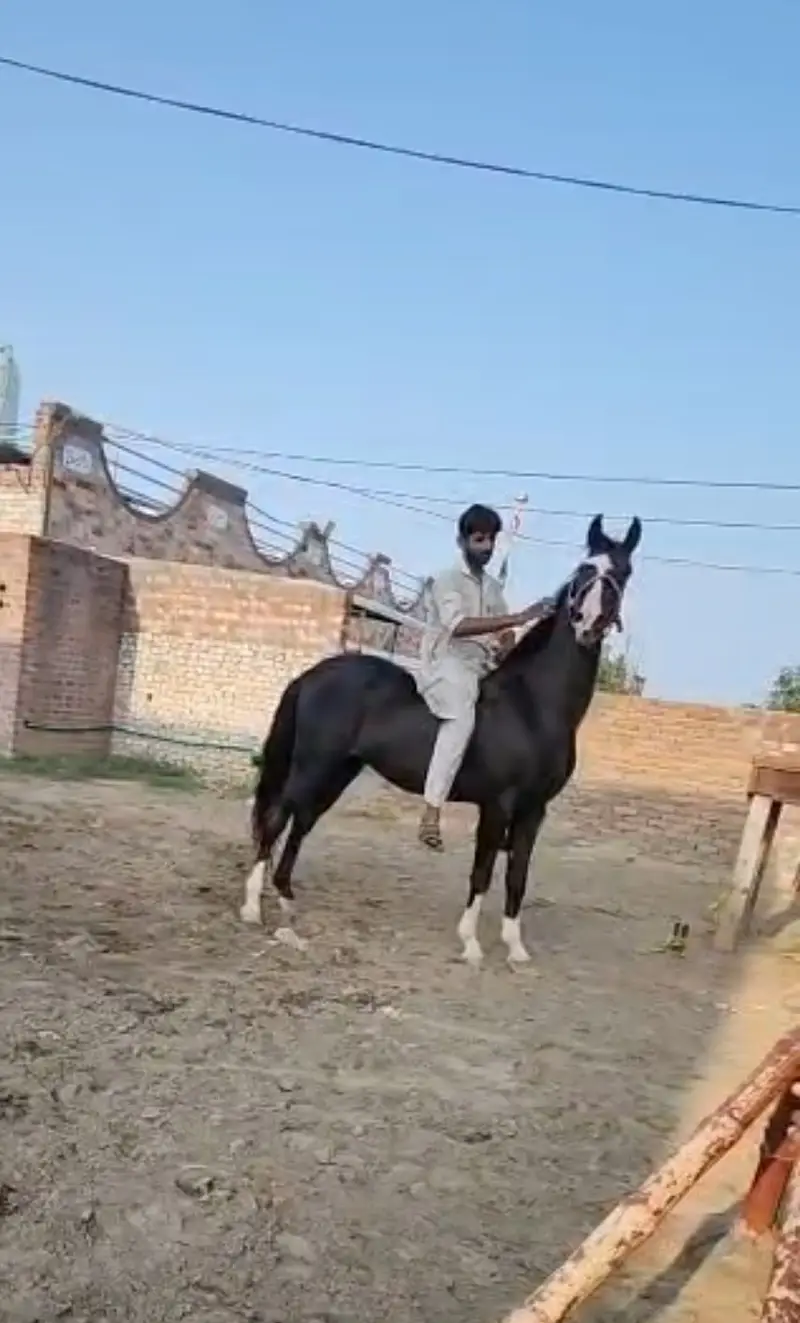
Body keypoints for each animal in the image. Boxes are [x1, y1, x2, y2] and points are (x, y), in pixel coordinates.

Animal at [240, 513, 642, 964]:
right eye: (584, 570)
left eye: (622, 573)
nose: (587, 625)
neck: (533, 707)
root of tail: (313, 674)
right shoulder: (498, 805)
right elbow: (482, 871)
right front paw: (470, 944)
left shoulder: (533, 811)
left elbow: (517, 874)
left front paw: (515, 948)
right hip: (313, 767)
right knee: (277, 819)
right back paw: (253, 908)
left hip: (339, 771)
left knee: (301, 824)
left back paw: (286, 903)